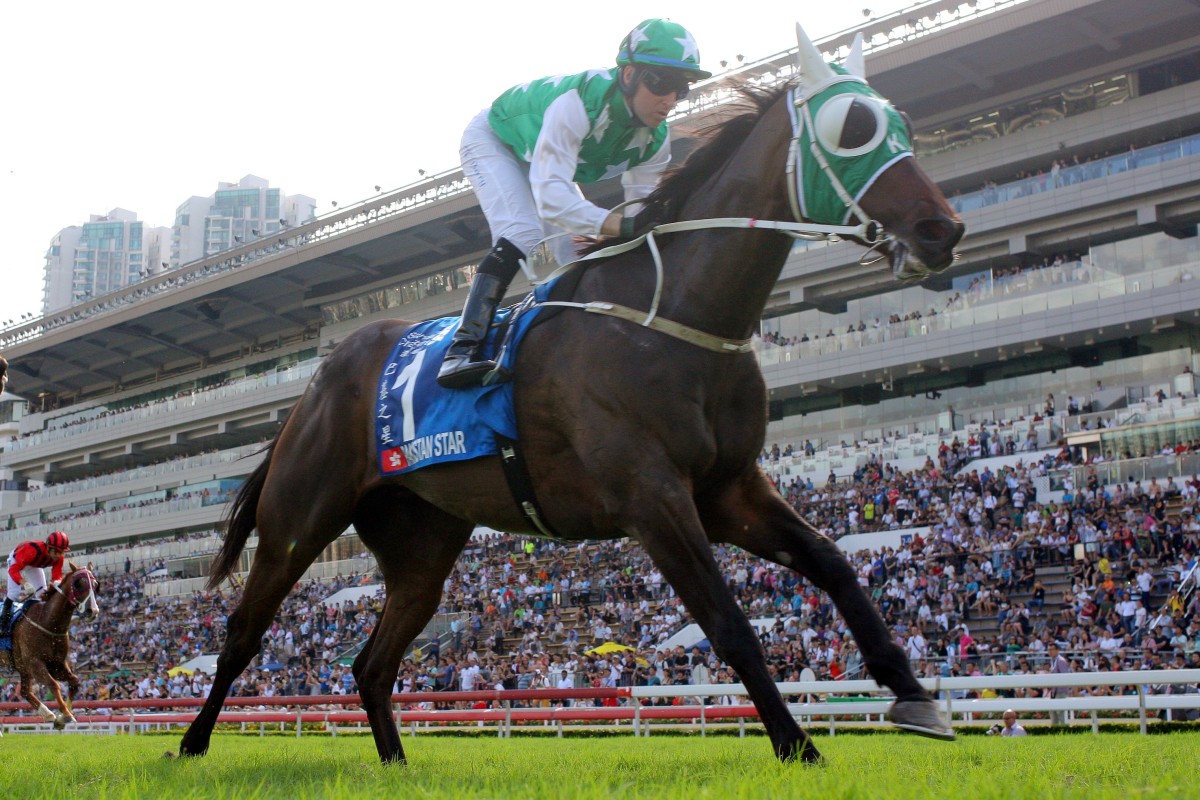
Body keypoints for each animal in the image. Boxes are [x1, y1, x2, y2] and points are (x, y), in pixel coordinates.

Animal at [2, 566, 97, 729]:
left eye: (95, 585)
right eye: (79, 584)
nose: (93, 611)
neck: (47, 622)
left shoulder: (56, 664)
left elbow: (74, 681)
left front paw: (62, 716)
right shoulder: (35, 663)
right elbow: (53, 684)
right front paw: (65, 715)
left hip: (22, 668)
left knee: (25, 691)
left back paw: (47, 713)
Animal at [180, 31, 964, 767]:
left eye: (902, 123)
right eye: (854, 128)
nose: (943, 230)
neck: (674, 317)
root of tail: (318, 378)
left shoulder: (730, 490)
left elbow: (834, 563)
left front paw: (914, 695)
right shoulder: (653, 497)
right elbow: (729, 624)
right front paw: (798, 745)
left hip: (422, 544)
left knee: (372, 663)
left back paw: (397, 763)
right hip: (299, 518)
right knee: (243, 633)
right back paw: (189, 745)